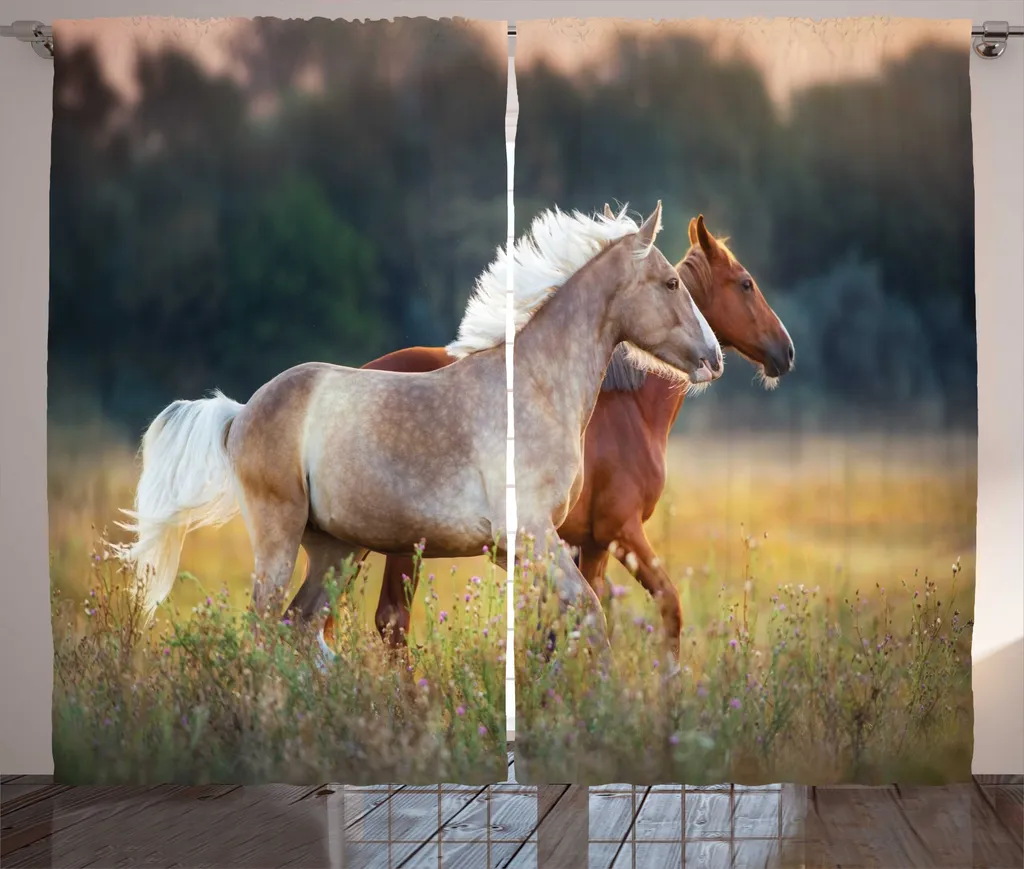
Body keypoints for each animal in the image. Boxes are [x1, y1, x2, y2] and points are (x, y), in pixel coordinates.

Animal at [114, 202, 723, 660]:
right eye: (671, 282)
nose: (712, 358)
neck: (535, 387)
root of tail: (240, 412)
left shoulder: (526, 548)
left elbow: (555, 627)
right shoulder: (530, 534)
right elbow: (590, 620)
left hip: (334, 551)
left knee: (298, 630)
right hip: (279, 538)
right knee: (266, 632)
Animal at [349, 210, 792, 662]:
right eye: (746, 283)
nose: (785, 351)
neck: (629, 406)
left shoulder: (588, 545)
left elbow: (566, 622)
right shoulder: (621, 531)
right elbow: (667, 605)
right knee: (391, 619)